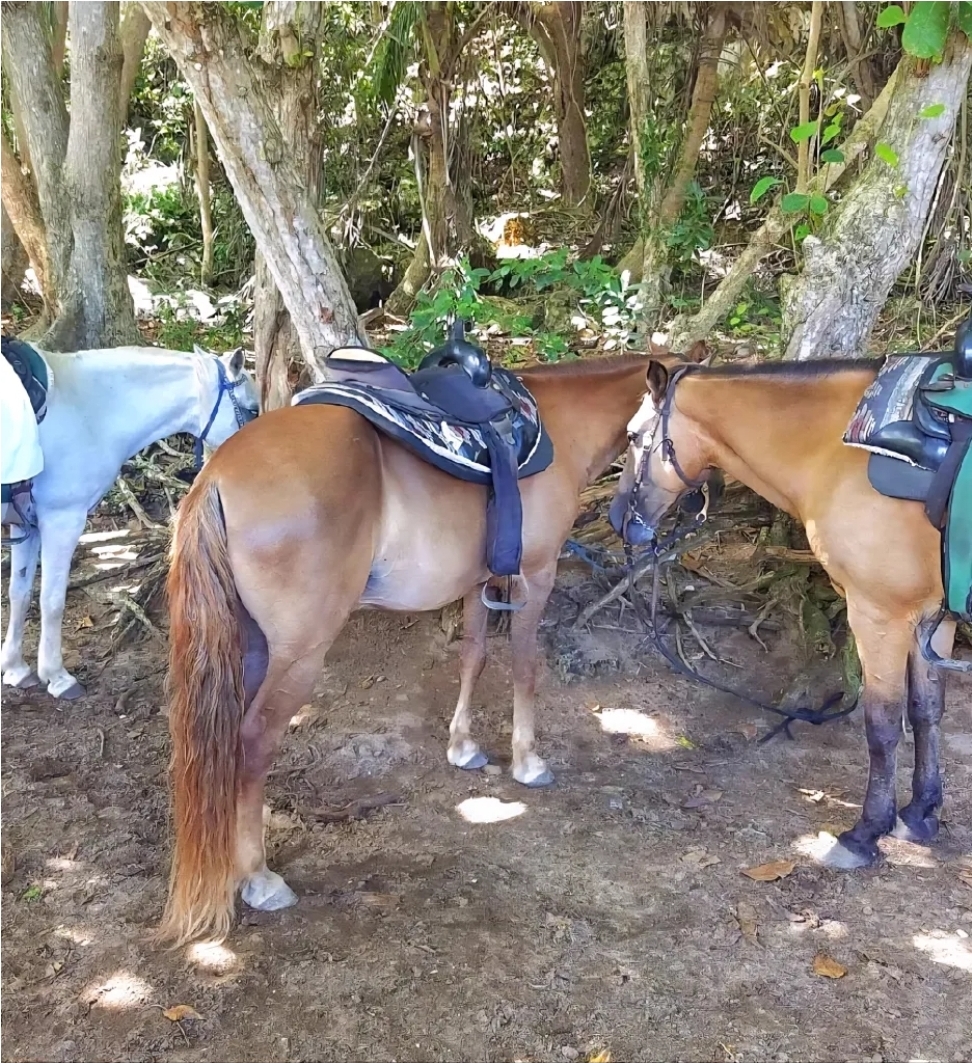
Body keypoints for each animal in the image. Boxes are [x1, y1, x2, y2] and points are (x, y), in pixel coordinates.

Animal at [1, 344, 259, 699]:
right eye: (252, 410)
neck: (85, 409)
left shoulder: (27, 525)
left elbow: (20, 592)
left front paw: (14, 668)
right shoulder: (61, 520)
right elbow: (51, 600)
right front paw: (57, 676)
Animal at [156, 343, 709, 945]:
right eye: (646, 436)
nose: (629, 523)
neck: (558, 424)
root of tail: (215, 475)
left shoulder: (478, 581)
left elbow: (473, 656)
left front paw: (463, 746)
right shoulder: (535, 575)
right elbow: (524, 666)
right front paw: (527, 760)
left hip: (251, 643)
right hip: (299, 653)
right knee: (254, 740)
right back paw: (258, 877)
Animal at [608, 355, 967, 874]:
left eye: (636, 436)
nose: (618, 518)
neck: (839, 451)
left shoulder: (879, 615)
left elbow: (882, 727)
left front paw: (865, 833)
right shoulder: (930, 617)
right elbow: (926, 711)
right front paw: (920, 813)